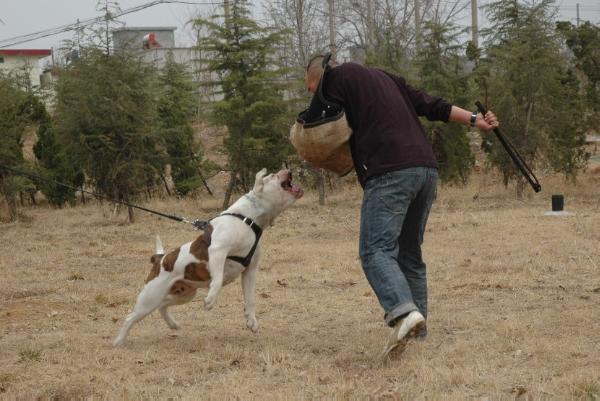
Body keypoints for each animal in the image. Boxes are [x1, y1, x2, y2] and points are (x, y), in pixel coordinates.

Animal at [112, 167, 302, 346]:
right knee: (130, 317)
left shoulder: (249, 271)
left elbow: (250, 299)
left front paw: (251, 321)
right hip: (150, 298)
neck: (248, 218)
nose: (288, 170)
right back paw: (119, 341)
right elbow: (217, 279)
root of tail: (160, 258)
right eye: (272, 176)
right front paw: (210, 299)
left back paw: (172, 324)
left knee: (162, 305)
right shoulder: (218, 251)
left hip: (185, 294)